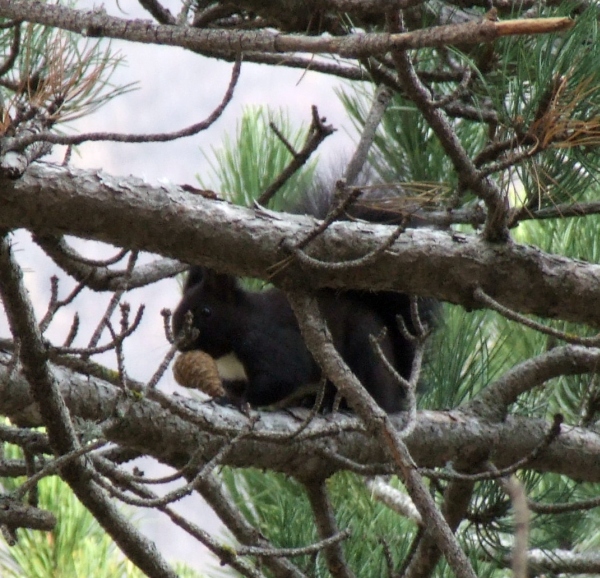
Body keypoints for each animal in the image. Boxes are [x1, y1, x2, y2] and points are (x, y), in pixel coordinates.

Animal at [173, 189, 436, 410]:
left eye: (206, 311)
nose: (178, 340)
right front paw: (223, 397)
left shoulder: (270, 343)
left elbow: (282, 376)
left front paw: (238, 402)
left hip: (366, 350)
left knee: (376, 395)